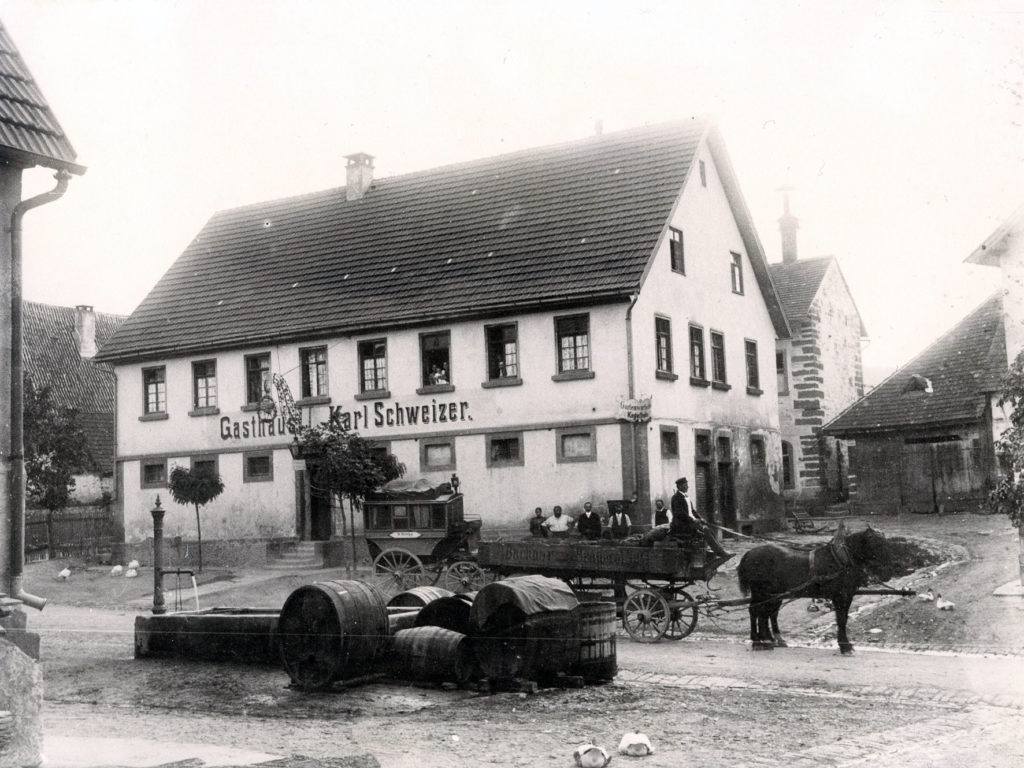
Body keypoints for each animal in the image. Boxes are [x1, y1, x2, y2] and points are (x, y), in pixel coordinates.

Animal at [737, 524, 897, 655]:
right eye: (877, 543)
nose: (889, 570)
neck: (841, 559)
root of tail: (749, 554)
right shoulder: (840, 596)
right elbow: (841, 620)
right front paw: (844, 646)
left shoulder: (848, 595)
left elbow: (844, 618)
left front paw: (846, 644)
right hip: (760, 592)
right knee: (755, 611)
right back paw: (758, 642)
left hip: (772, 594)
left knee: (765, 613)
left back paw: (767, 641)